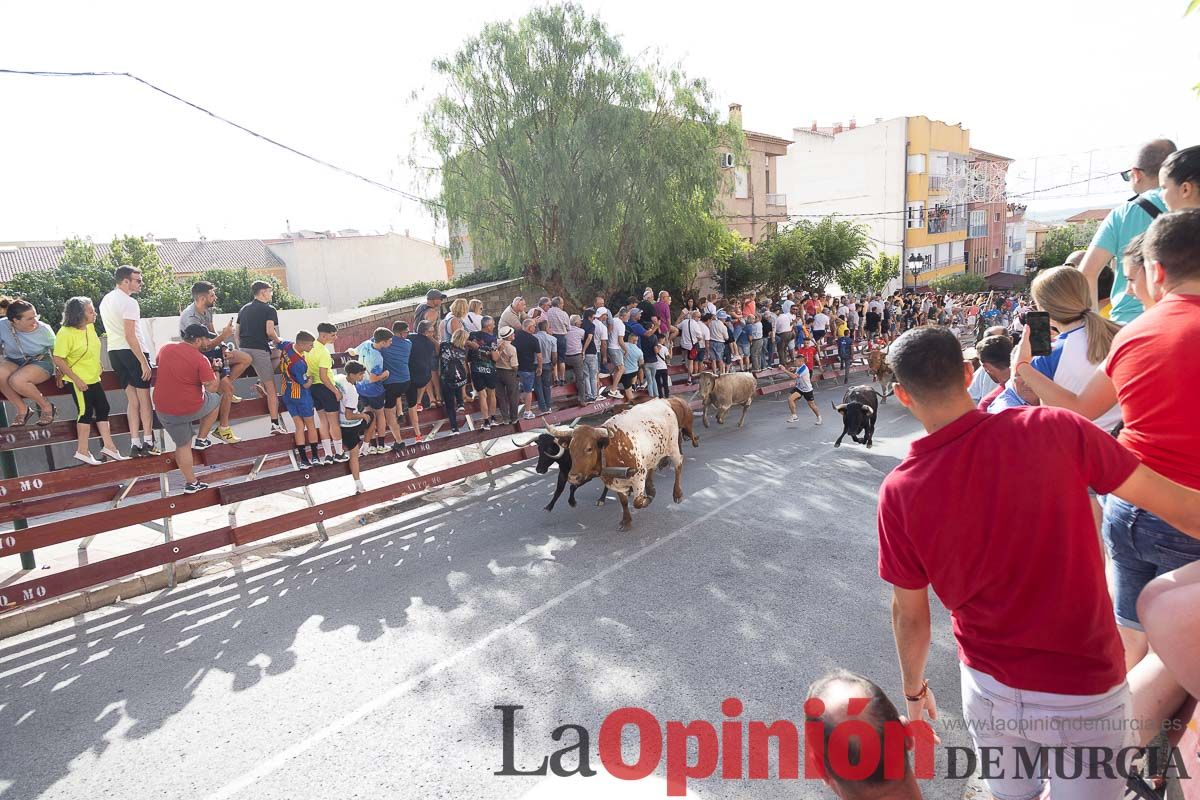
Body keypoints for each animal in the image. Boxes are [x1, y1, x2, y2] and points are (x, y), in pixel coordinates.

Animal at [547, 400, 686, 532]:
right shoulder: (616, 481)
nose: (573, 477)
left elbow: (637, 502)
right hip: (652, 454)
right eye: (570, 449)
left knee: (678, 465)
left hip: (673, 447)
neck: (611, 451)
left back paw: (677, 494)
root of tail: (663, 402)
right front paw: (626, 521)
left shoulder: (638, 475)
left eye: (589, 449)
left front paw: (647, 500)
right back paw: (651, 487)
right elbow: (624, 502)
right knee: (652, 468)